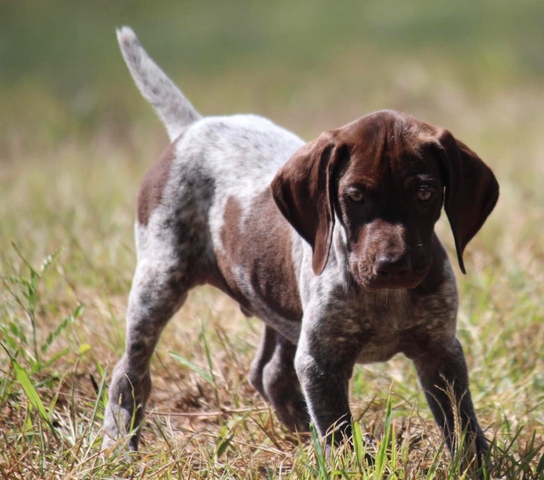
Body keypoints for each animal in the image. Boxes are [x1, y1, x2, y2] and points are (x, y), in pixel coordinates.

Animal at [102, 27, 498, 464]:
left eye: (425, 193)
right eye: (355, 196)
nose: (393, 265)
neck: (386, 299)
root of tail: (195, 126)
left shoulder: (441, 352)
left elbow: (463, 426)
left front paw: (476, 465)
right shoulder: (320, 361)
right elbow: (338, 430)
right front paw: (346, 461)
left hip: (276, 301)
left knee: (269, 373)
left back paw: (304, 435)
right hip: (159, 280)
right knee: (129, 373)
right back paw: (119, 445)